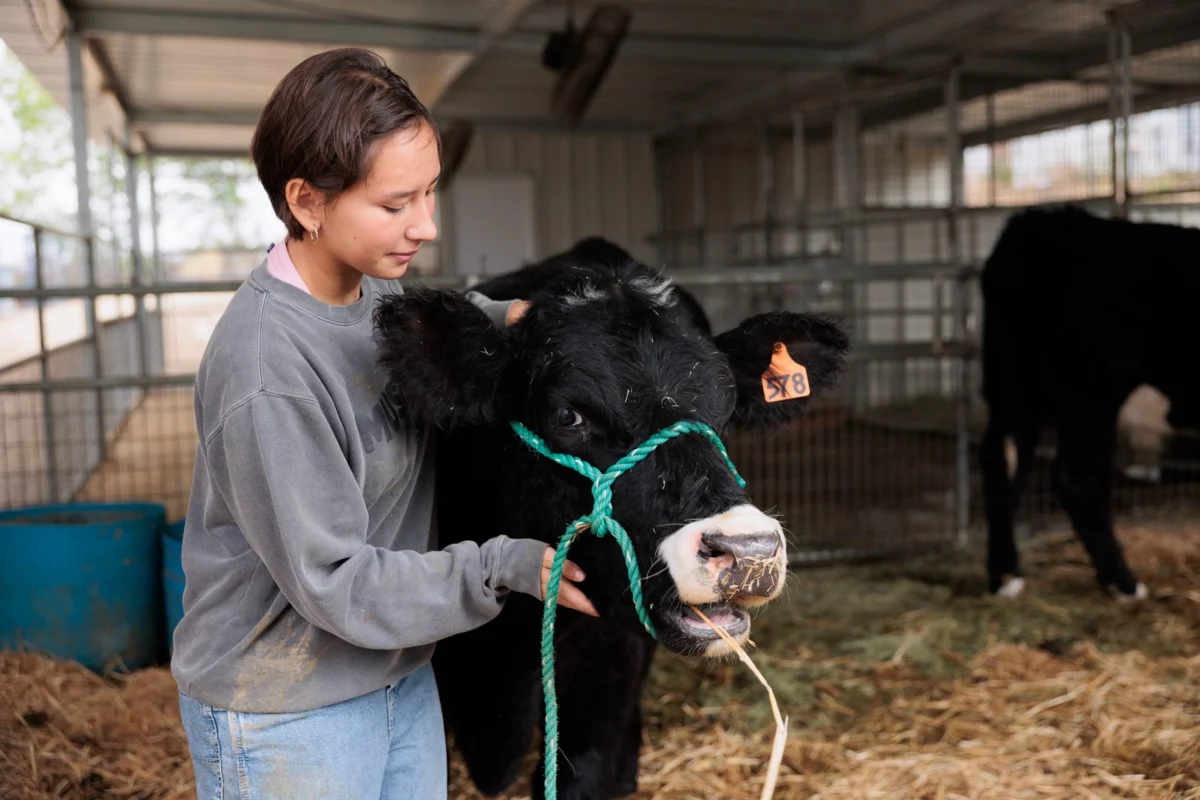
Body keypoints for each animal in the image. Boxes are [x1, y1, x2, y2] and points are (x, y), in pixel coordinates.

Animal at [979, 204, 1200, 601]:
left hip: (1014, 392)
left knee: (1002, 462)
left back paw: (1005, 576)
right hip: (1091, 399)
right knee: (1077, 479)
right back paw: (1123, 582)